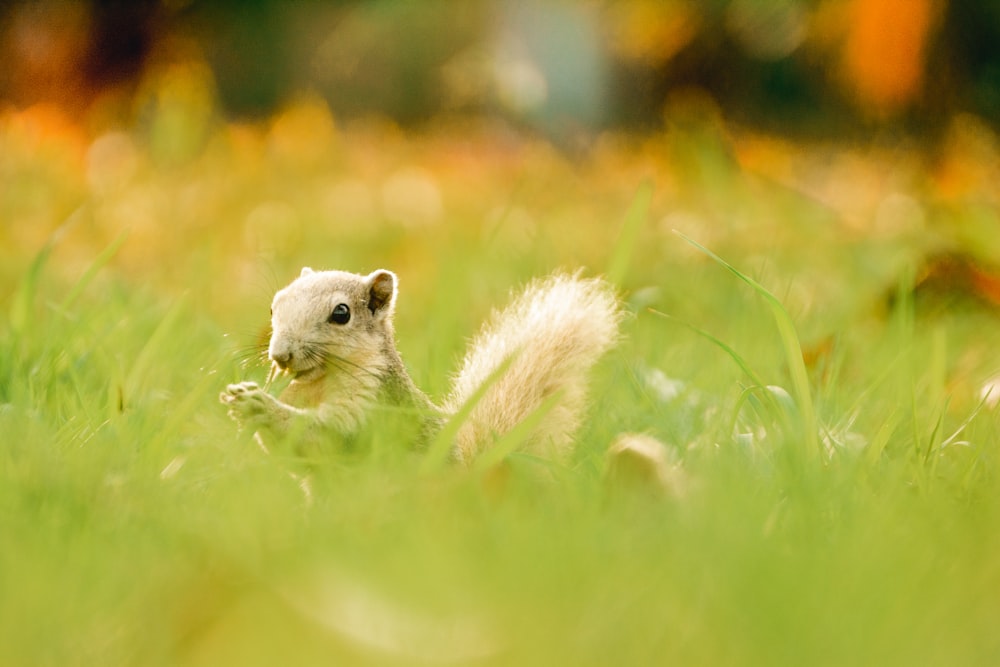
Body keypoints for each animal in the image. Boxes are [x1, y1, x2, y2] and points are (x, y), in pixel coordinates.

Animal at [222, 266, 620, 464]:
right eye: (273, 306)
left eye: (341, 313)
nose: (281, 355)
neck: (318, 384)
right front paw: (238, 399)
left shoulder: (372, 408)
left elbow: (324, 435)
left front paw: (260, 405)